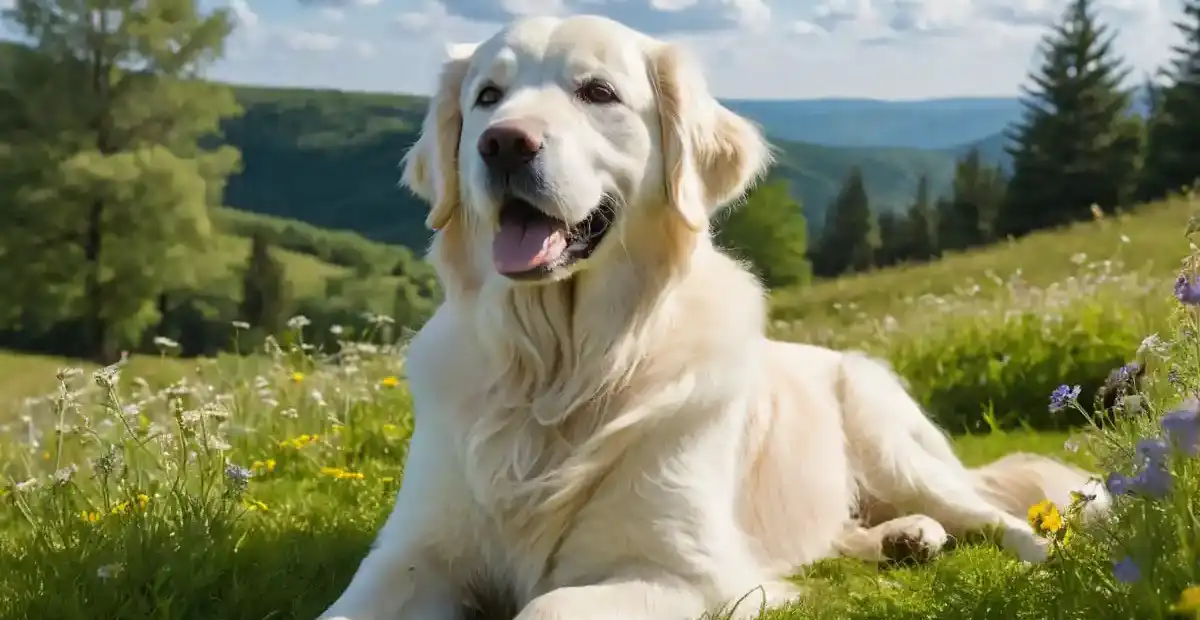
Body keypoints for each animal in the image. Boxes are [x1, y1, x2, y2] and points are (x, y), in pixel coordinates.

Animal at [316, 14, 1104, 618]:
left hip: (894, 444)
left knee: (996, 514)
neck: (560, 371)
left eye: (597, 92)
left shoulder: (681, 570)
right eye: (487, 96)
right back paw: (902, 539)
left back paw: (1044, 551)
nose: (504, 142)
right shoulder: (411, 553)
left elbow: (549, 605)